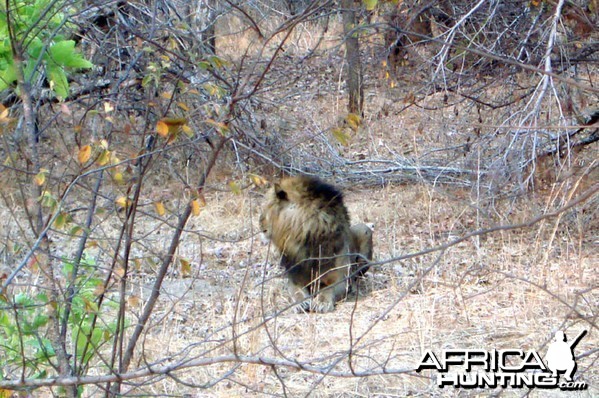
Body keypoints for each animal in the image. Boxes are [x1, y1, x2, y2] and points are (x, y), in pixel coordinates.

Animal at [260, 176, 372, 312]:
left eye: (266, 208)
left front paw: (322, 302)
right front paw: (300, 303)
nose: (259, 222)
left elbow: (328, 289)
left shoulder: (341, 279)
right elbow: (296, 291)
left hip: (365, 230)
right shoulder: (294, 278)